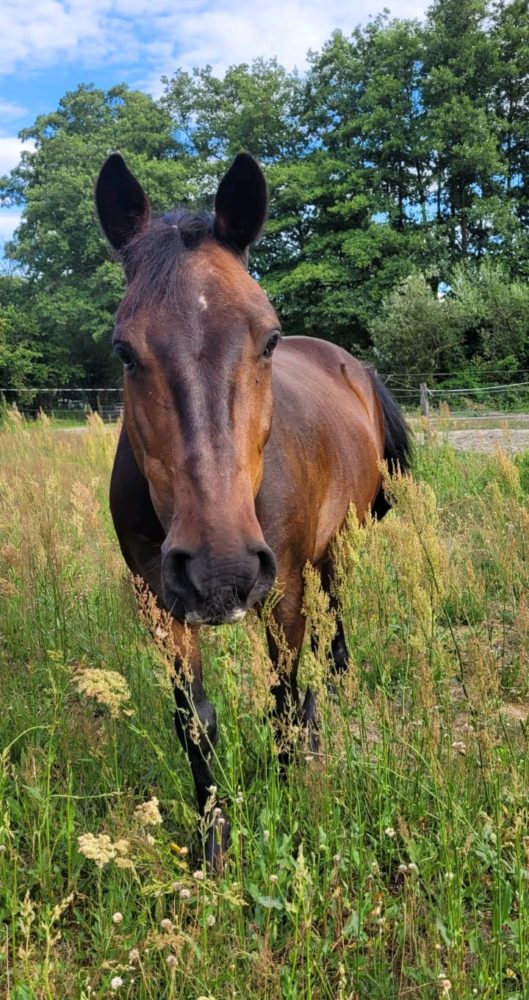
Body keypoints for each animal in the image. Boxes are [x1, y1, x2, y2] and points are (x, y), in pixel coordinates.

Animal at [95, 150, 410, 868]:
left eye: (268, 338)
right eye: (124, 350)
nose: (221, 571)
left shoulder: (282, 587)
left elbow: (284, 699)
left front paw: (291, 801)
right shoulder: (160, 602)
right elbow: (195, 720)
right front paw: (213, 843)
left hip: (335, 550)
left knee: (330, 628)